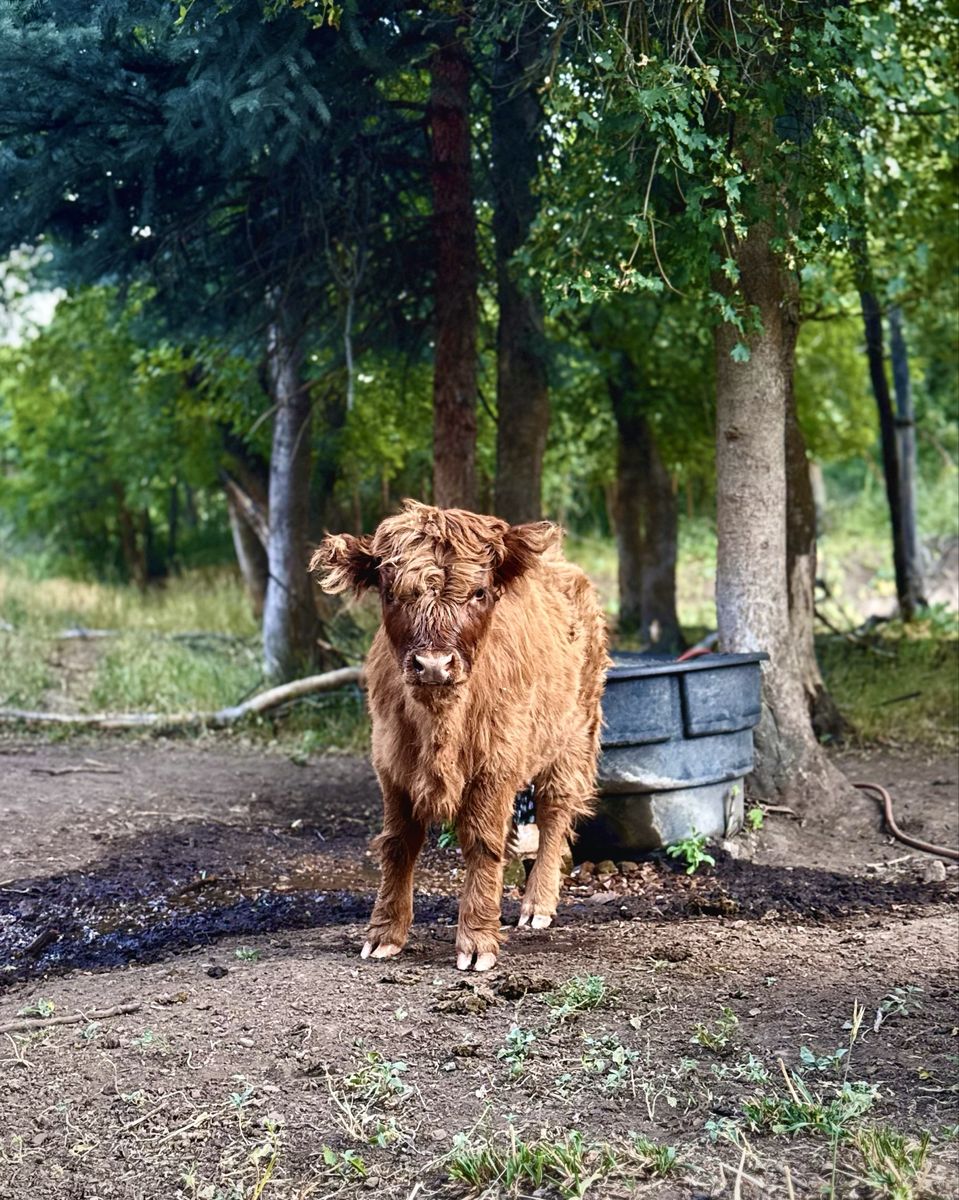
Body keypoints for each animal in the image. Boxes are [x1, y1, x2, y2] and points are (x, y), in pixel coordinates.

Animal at [311, 500, 608, 972]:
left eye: (479, 593)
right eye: (391, 593)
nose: (433, 665)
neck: (441, 724)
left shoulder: (495, 765)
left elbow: (482, 843)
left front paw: (477, 941)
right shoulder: (391, 763)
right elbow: (398, 844)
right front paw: (384, 935)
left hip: (573, 736)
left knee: (554, 812)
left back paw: (537, 906)